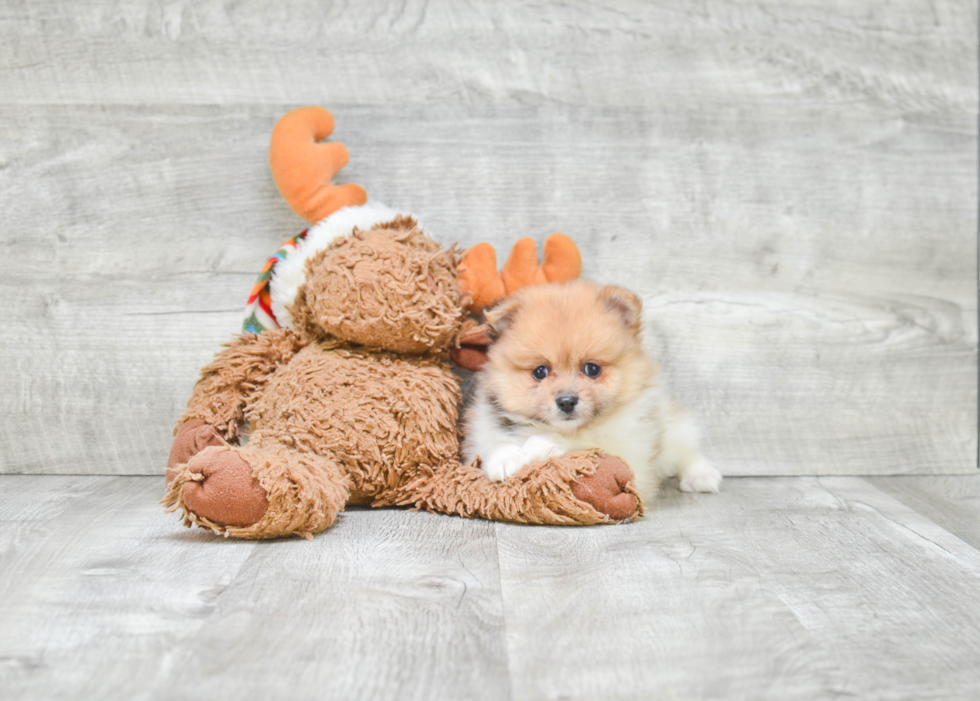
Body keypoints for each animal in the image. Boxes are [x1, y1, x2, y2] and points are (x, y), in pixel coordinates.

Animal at [460, 278, 720, 504]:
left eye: (592, 369)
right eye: (540, 372)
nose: (566, 401)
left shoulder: (631, 457)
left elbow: (585, 444)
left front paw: (541, 444)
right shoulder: (483, 429)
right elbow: (494, 445)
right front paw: (505, 458)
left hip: (671, 427)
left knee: (686, 449)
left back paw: (701, 475)